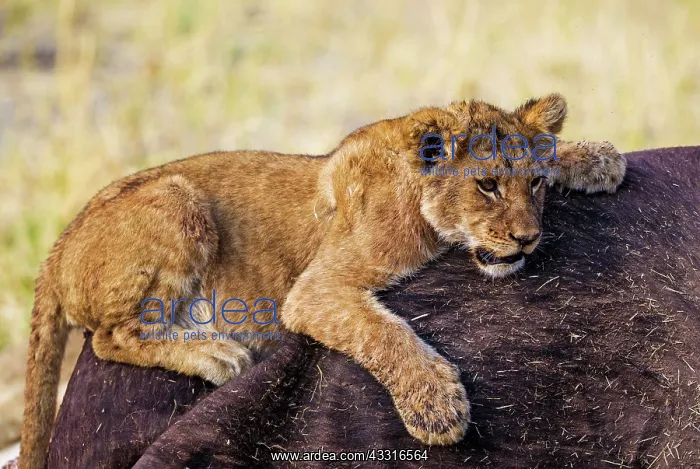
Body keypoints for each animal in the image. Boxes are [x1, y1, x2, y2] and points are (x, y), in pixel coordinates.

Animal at [20, 93, 625, 468]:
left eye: (536, 186)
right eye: (487, 186)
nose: (527, 240)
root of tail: (56, 249)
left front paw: (597, 157)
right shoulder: (315, 290)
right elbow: (383, 333)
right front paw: (437, 406)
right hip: (176, 197)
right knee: (109, 337)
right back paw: (213, 353)